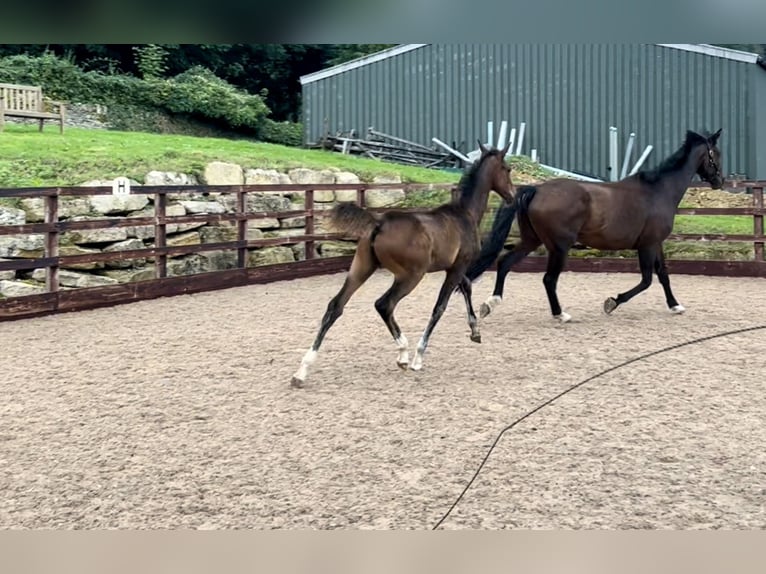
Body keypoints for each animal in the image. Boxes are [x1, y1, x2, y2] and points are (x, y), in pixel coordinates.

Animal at [294, 142, 516, 390]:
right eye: (507, 169)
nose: (512, 195)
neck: (464, 214)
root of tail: (379, 223)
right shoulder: (457, 267)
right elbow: (440, 307)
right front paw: (419, 357)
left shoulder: (455, 267)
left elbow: (467, 287)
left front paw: (475, 331)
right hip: (410, 275)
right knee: (384, 304)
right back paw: (404, 353)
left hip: (361, 268)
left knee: (336, 306)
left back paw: (302, 370)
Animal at [468, 129, 728, 324]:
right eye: (715, 153)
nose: (720, 181)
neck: (659, 190)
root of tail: (536, 189)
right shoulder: (647, 245)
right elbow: (646, 280)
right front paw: (611, 303)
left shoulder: (656, 243)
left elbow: (663, 274)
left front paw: (675, 306)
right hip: (559, 247)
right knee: (549, 279)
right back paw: (560, 314)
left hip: (533, 240)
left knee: (505, 263)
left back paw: (490, 303)